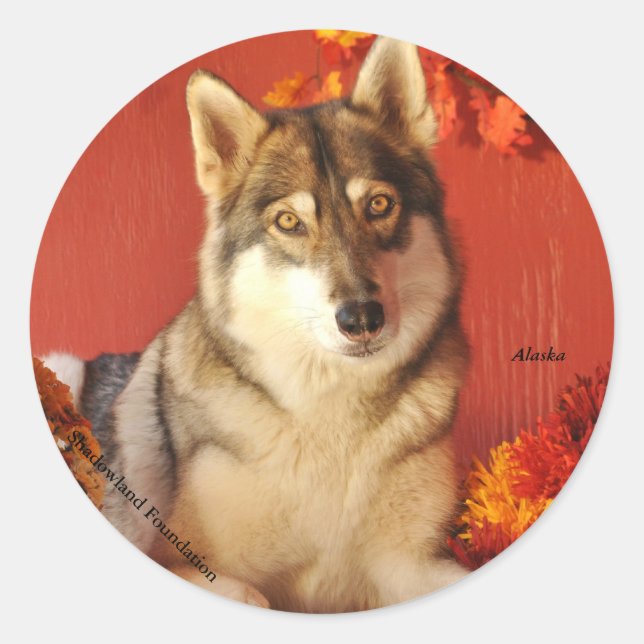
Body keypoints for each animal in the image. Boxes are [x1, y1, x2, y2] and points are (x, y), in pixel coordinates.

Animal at [45, 36, 470, 612]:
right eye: (289, 221)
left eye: (380, 205)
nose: (361, 318)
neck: (330, 421)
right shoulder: (183, 562)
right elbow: (253, 595)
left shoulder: (409, 566)